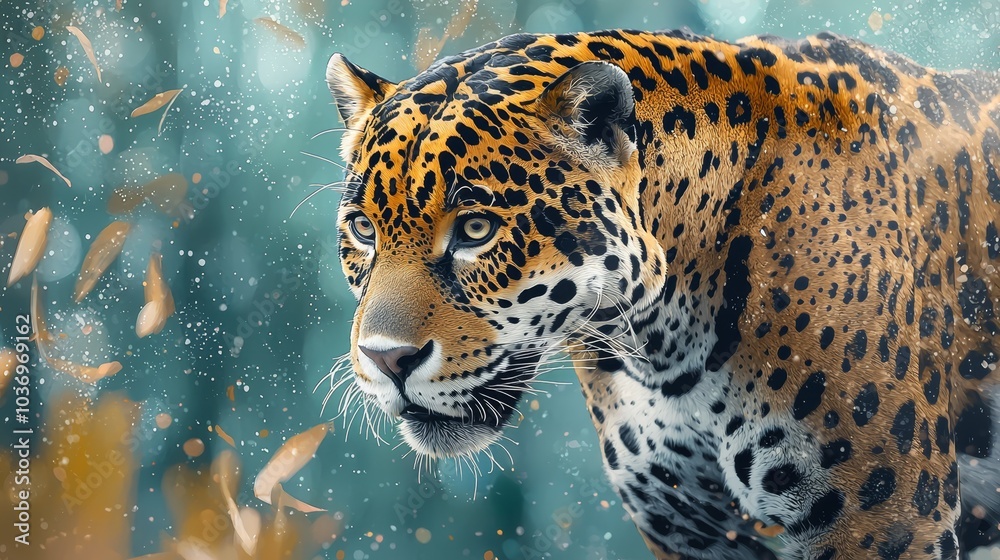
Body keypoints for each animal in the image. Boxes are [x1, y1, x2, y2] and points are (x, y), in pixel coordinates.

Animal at [323, 29, 1000, 559]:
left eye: (475, 230)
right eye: (363, 230)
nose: (386, 360)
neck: (664, 340)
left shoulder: (883, 521)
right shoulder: (686, 526)